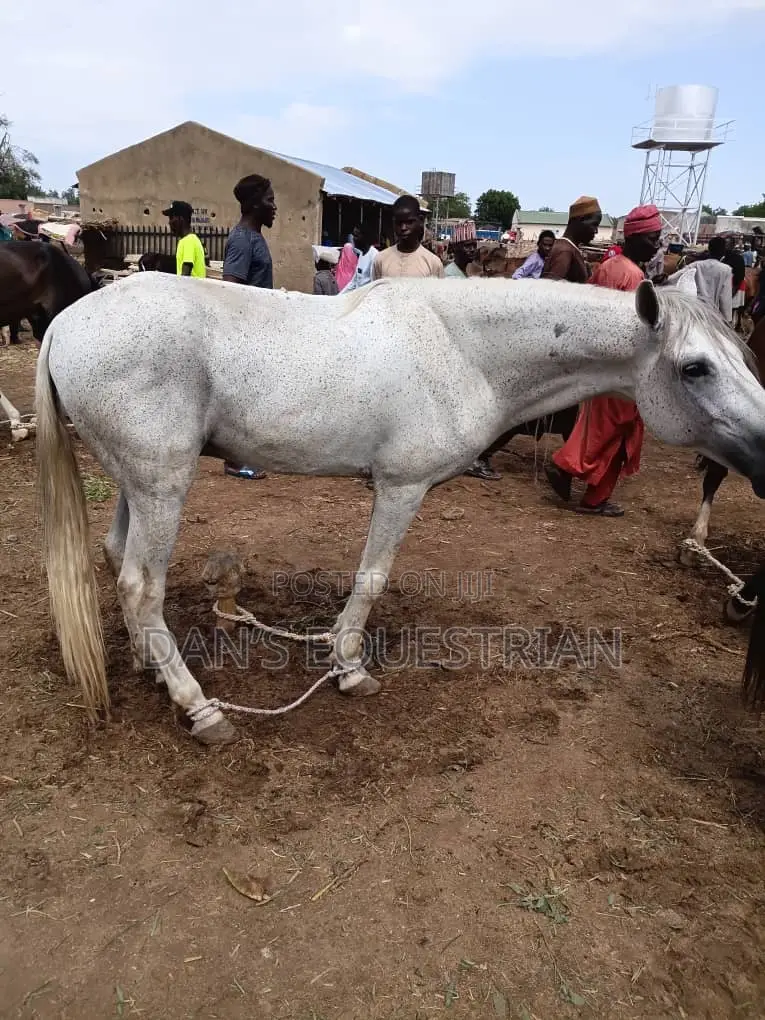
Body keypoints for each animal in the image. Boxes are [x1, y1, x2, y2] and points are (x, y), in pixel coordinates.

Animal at [35, 273, 765, 745]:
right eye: (696, 368)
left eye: (740, 356)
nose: (764, 451)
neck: (462, 348)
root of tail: (65, 323)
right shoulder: (400, 486)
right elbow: (371, 579)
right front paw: (349, 668)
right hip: (163, 483)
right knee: (141, 585)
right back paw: (198, 707)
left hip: (138, 482)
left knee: (118, 560)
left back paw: (151, 668)